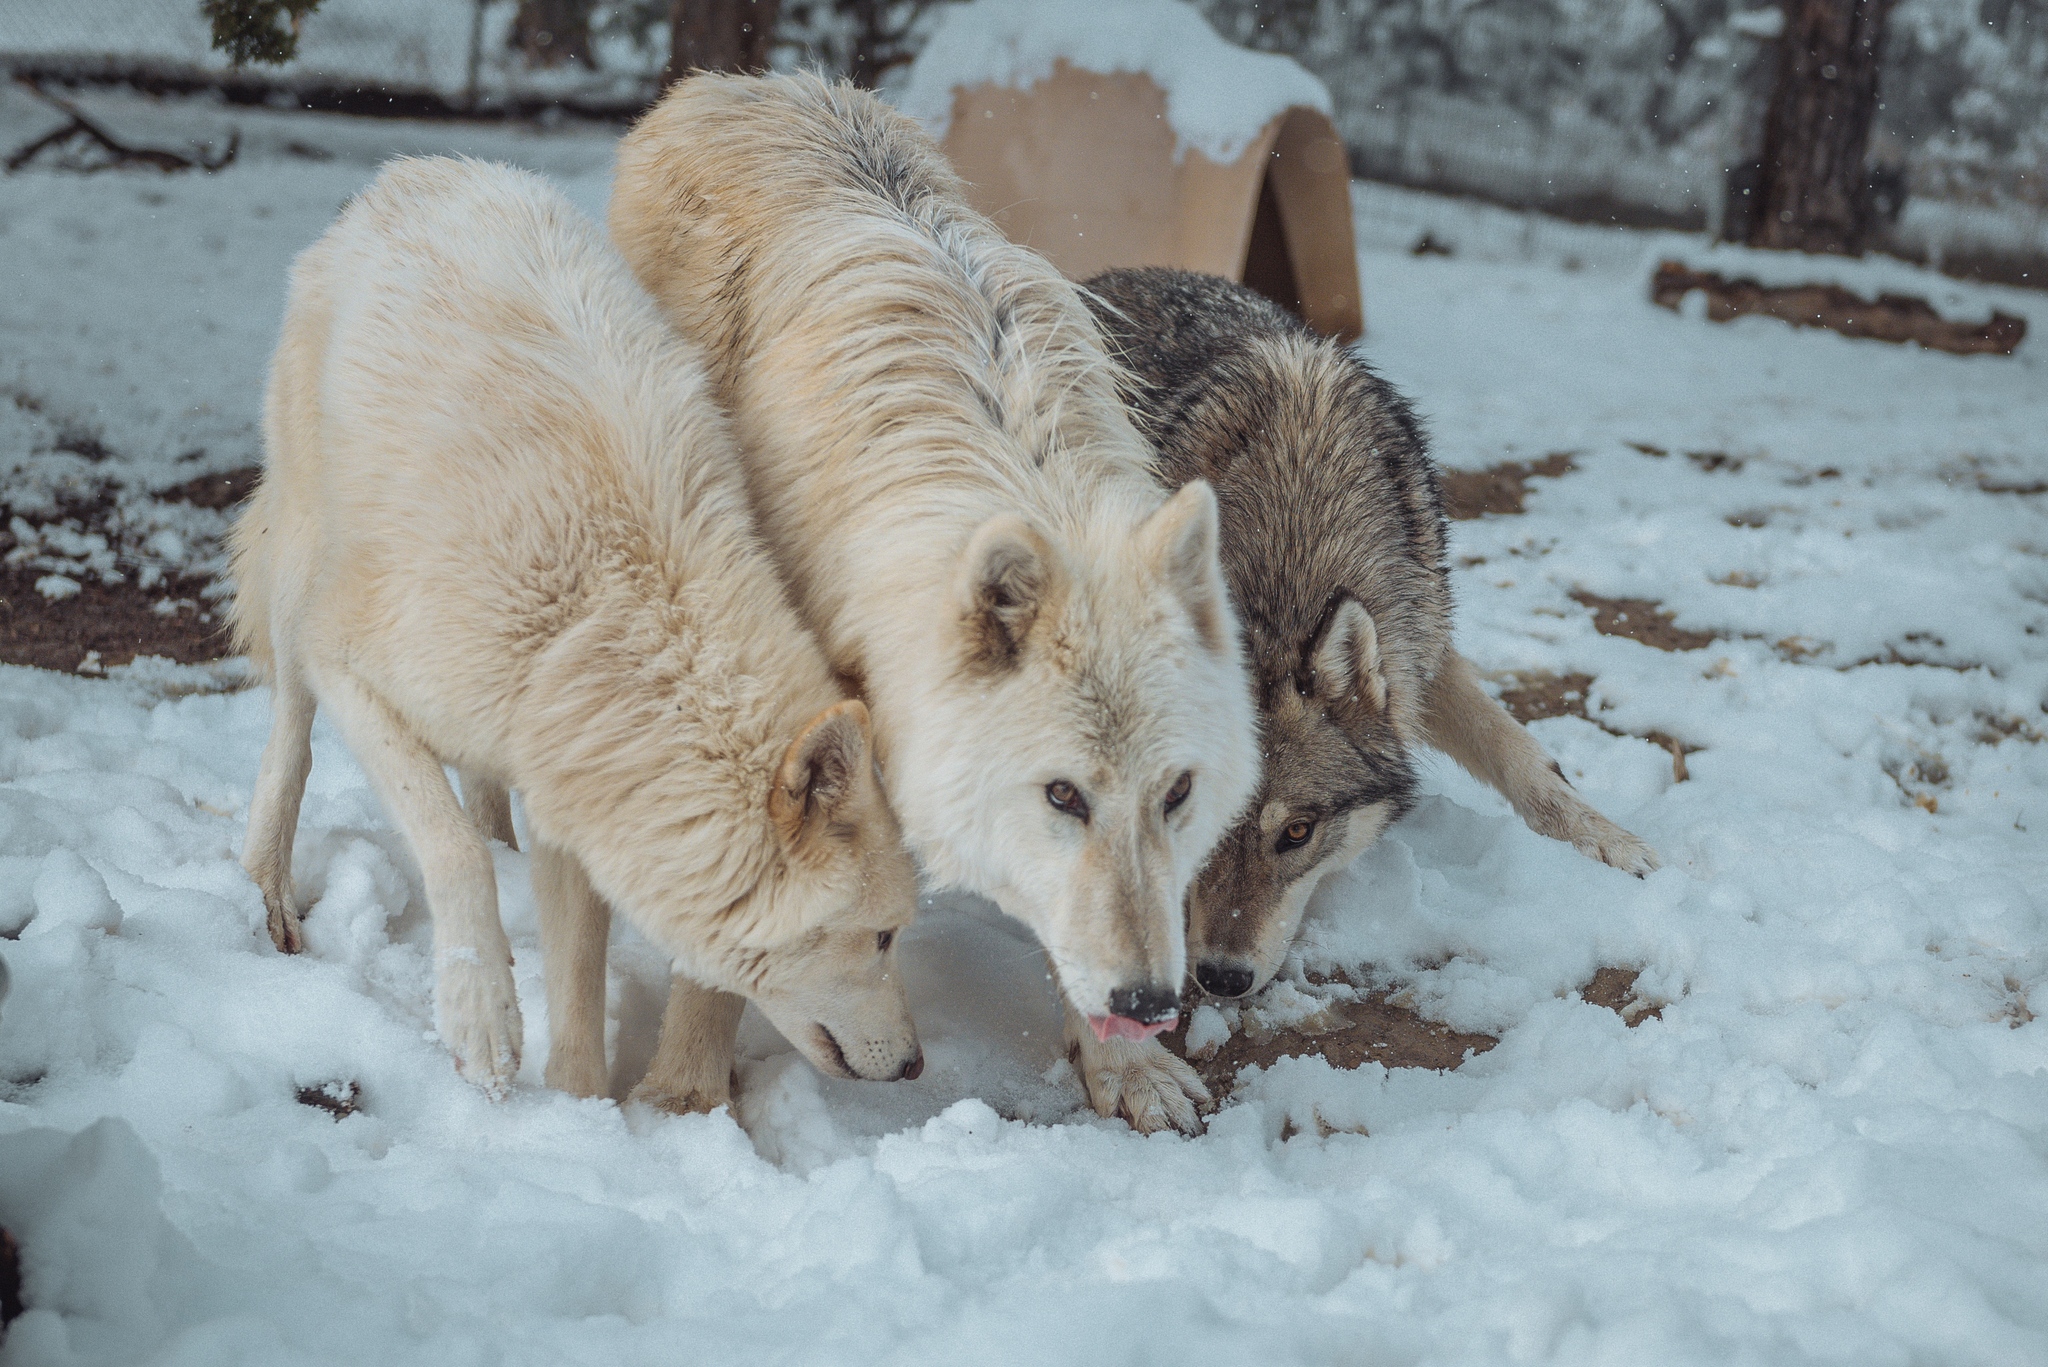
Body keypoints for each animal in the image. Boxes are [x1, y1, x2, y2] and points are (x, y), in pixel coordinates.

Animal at [230, 154, 921, 1106]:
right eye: (884, 935)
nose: (920, 1063)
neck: (607, 610)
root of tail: (421, 168)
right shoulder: (354, 663)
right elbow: (450, 849)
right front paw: (483, 1023)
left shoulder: (571, 776)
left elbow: (576, 971)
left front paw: (577, 1107)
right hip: (303, 574)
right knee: (291, 735)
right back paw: (266, 886)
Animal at [598, 74, 1253, 1131]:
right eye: (1063, 795)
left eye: (1178, 794)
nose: (1153, 1001)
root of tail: (746, 82)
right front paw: (686, 1092)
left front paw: (1129, 1073)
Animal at [1089, 264, 1646, 996]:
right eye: (1195, 816)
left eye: (1298, 833)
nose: (1222, 978)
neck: (1291, 557)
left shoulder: (1421, 649)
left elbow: (1519, 755)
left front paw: (1609, 842)